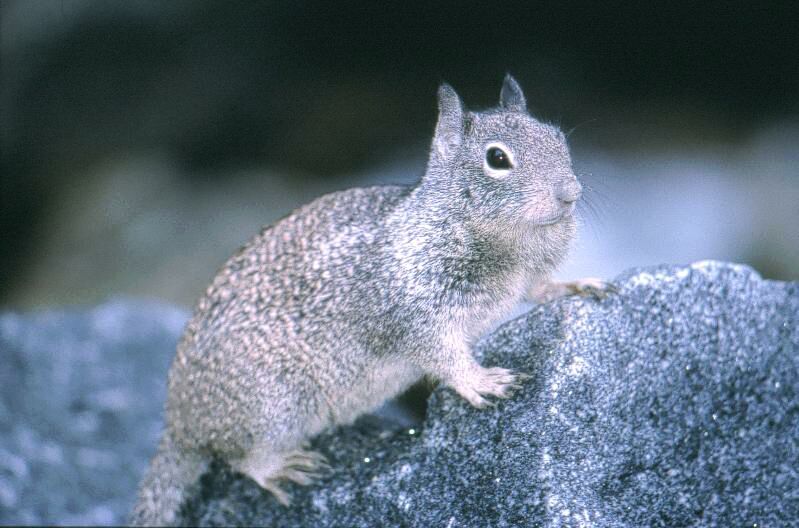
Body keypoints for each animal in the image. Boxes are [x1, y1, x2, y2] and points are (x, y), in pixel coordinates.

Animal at [130, 75, 612, 526]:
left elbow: (539, 289)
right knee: (241, 459)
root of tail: (178, 426)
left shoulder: (524, 279)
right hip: (275, 407)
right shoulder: (418, 312)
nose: (570, 193)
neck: (508, 241)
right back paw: (280, 467)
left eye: (559, 137)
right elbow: (443, 354)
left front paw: (577, 285)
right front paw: (480, 380)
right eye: (497, 159)